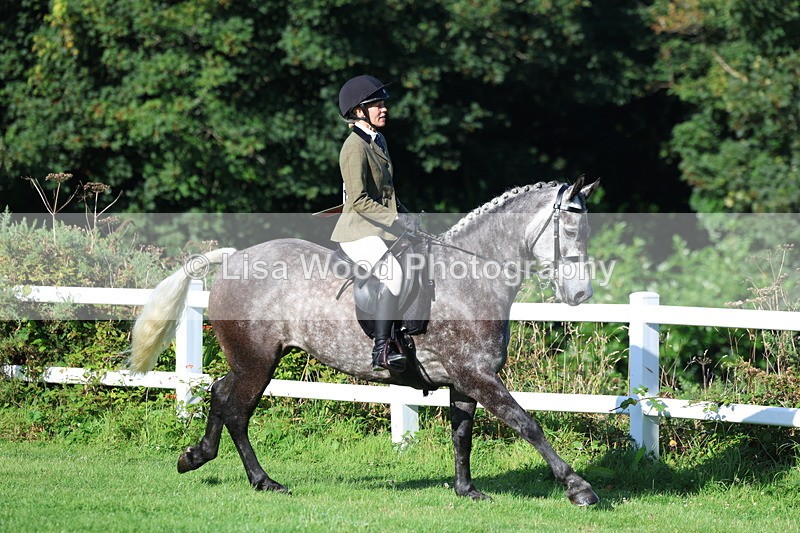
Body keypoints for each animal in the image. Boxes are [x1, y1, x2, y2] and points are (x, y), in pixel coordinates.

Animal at [128, 176, 602, 506]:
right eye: (570, 231)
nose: (581, 296)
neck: (469, 280)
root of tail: (235, 258)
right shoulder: (478, 376)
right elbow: (527, 423)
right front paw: (578, 487)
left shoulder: (468, 378)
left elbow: (462, 433)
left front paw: (466, 490)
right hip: (256, 362)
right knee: (236, 410)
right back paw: (263, 480)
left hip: (252, 361)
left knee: (220, 393)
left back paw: (196, 456)